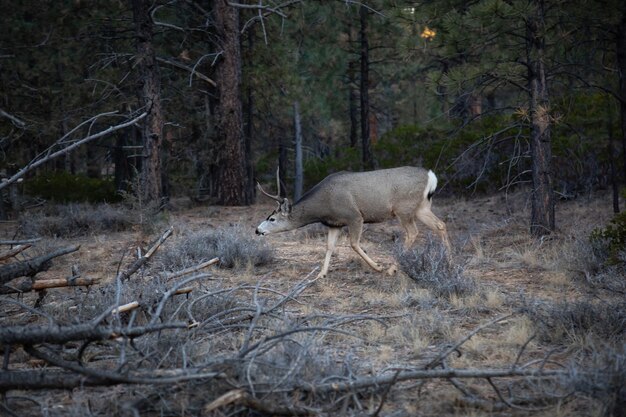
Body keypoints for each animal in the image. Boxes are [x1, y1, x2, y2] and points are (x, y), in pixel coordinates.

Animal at [255, 165, 448, 276]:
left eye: (272, 218)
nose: (257, 230)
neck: (324, 204)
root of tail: (431, 176)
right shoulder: (335, 223)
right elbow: (329, 246)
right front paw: (321, 275)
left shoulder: (354, 216)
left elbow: (354, 244)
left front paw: (378, 267)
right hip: (422, 207)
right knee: (441, 225)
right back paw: (450, 262)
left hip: (404, 208)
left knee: (413, 232)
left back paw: (392, 269)